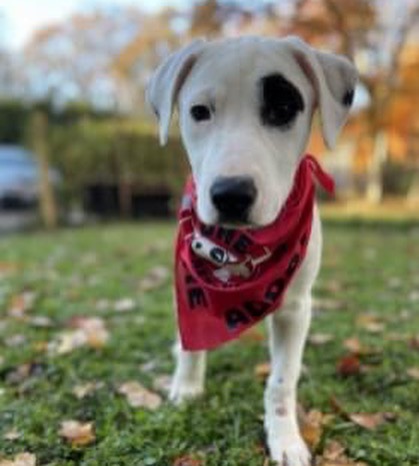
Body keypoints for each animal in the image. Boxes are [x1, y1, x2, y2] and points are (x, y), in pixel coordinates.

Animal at [147, 37, 358, 466]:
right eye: (199, 112)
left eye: (282, 110)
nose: (231, 194)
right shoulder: (185, 283)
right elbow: (192, 346)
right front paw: (187, 387)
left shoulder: (295, 308)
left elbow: (281, 379)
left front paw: (285, 437)